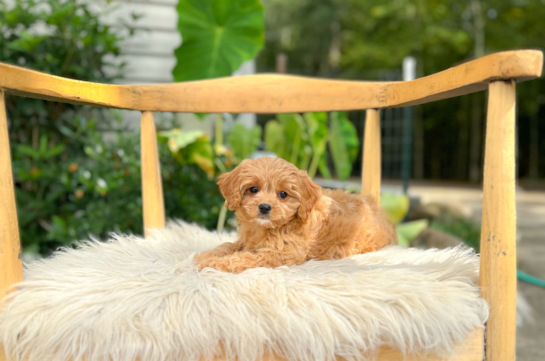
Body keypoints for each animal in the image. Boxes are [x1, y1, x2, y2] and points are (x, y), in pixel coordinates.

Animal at [193, 156, 398, 272]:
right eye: (253, 189)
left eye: (283, 194)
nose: (264, 207)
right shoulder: (245, 241)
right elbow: (229, 246)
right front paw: (209, 255)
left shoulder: (280, 253)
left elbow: (246, 257)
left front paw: (213, 263)